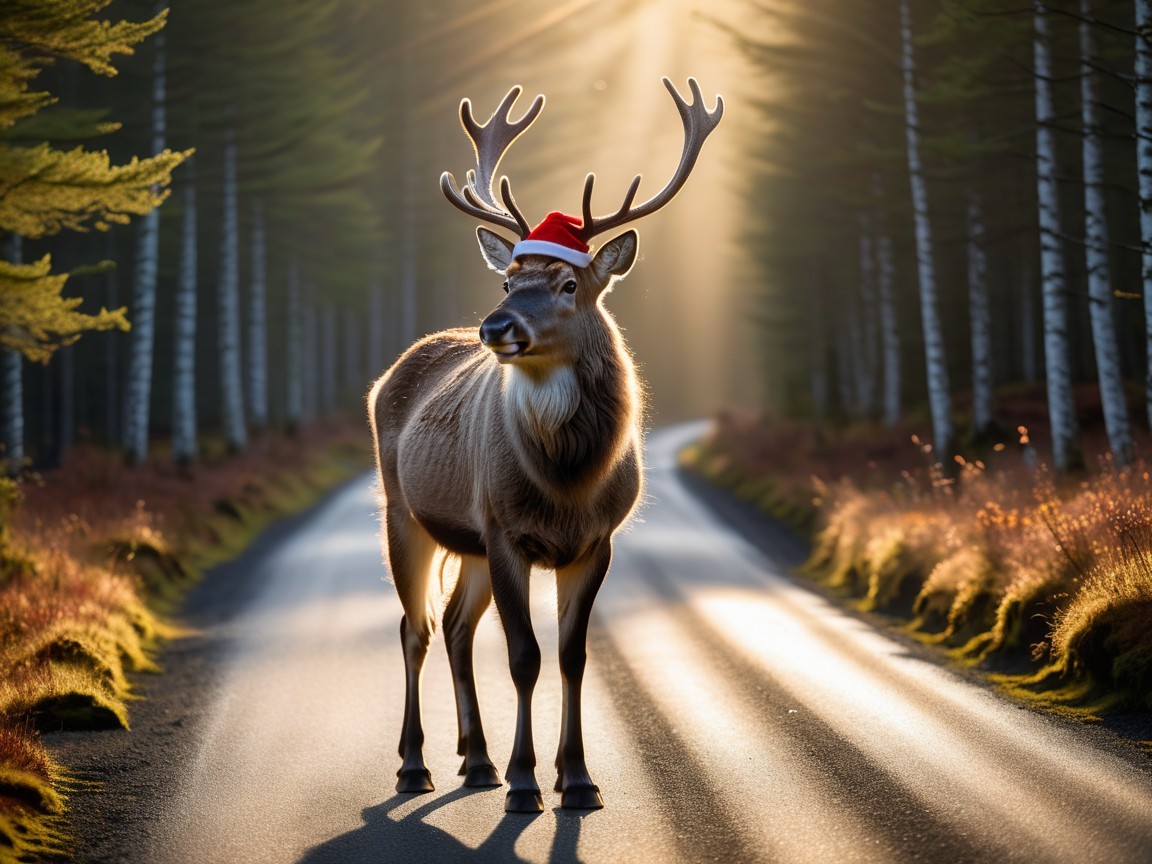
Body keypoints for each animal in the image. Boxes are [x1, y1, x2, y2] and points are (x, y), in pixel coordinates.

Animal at [367, 77, 722, 813]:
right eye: (507, 280)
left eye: (567, 283)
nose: (495, 326)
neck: (566, 481)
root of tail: (388, 375)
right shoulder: (507, 530)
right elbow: (525, 656)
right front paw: (528, 781)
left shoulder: (594, 539)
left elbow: (571, 655)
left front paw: (578, 779)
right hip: (402, 510)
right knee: (414, 627)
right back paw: (415, 765)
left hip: (469, 538)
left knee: (455, 624)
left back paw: (475, 761)